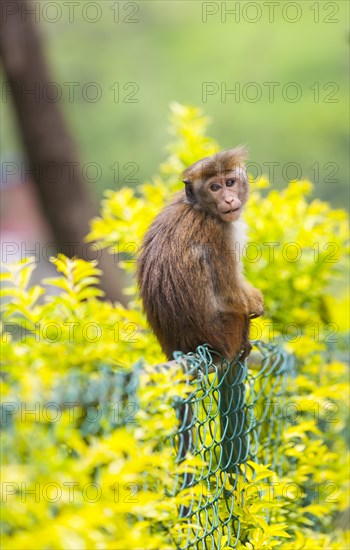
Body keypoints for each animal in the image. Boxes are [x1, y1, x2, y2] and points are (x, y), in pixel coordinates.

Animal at [137, 149, 262, 472]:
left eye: (230, 182)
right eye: (214, 187)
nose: (229, 199)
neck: (201, 209)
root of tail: (180, 348)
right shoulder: (219, 232)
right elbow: (231, 295)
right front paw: (257, 302)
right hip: (226, 333)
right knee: (237, 316)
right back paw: (242, 348)